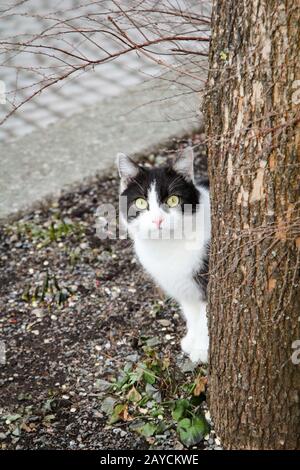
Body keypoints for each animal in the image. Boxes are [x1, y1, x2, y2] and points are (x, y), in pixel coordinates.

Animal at [116, 148, 210, 364]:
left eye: (173, 200)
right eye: (140, 202)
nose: (158, 220)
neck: (168, 246)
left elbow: (204, 320)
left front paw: (202, 351)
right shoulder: (183, 286)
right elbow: (192, 316)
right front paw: (191, 341)